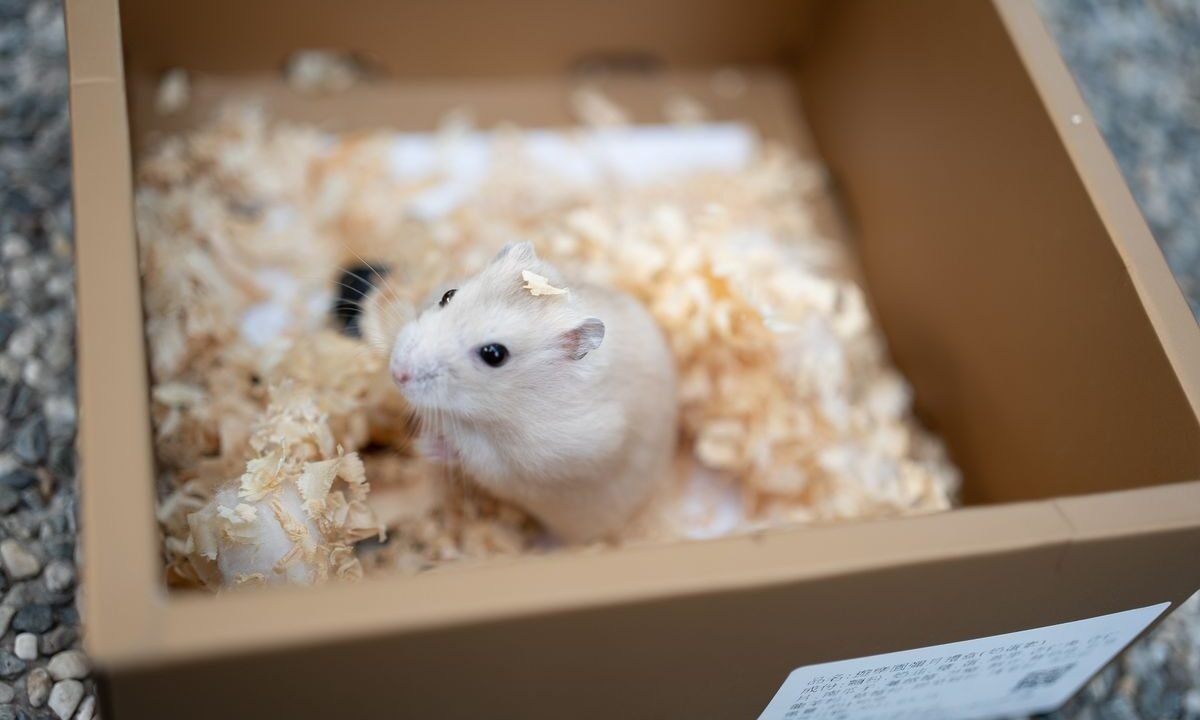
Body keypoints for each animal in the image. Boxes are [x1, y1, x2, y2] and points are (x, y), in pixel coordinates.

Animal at [388, 241, 678, 543]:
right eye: (448, 295)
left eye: (494, 354)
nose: (397, 373)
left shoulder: (533, 458)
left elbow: (473, 454)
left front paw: (427, 447)